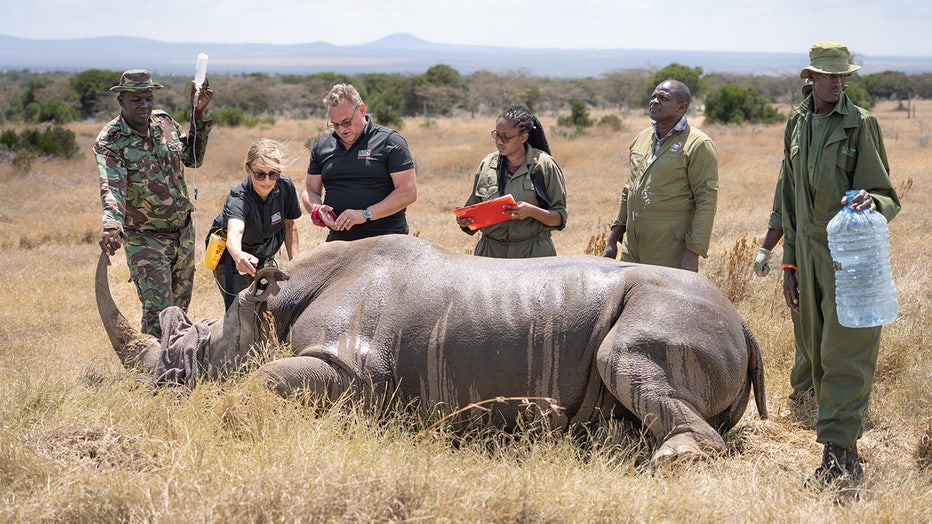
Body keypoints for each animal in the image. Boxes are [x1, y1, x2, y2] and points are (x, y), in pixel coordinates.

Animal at [96, 235, 767, 461]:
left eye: (193, 355)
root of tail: (743, 324)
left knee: (624, 357)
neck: (271, 305)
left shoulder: (353, 369)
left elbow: (263, 381)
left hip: (676, 316)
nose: (152, 392)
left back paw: (671, 458)